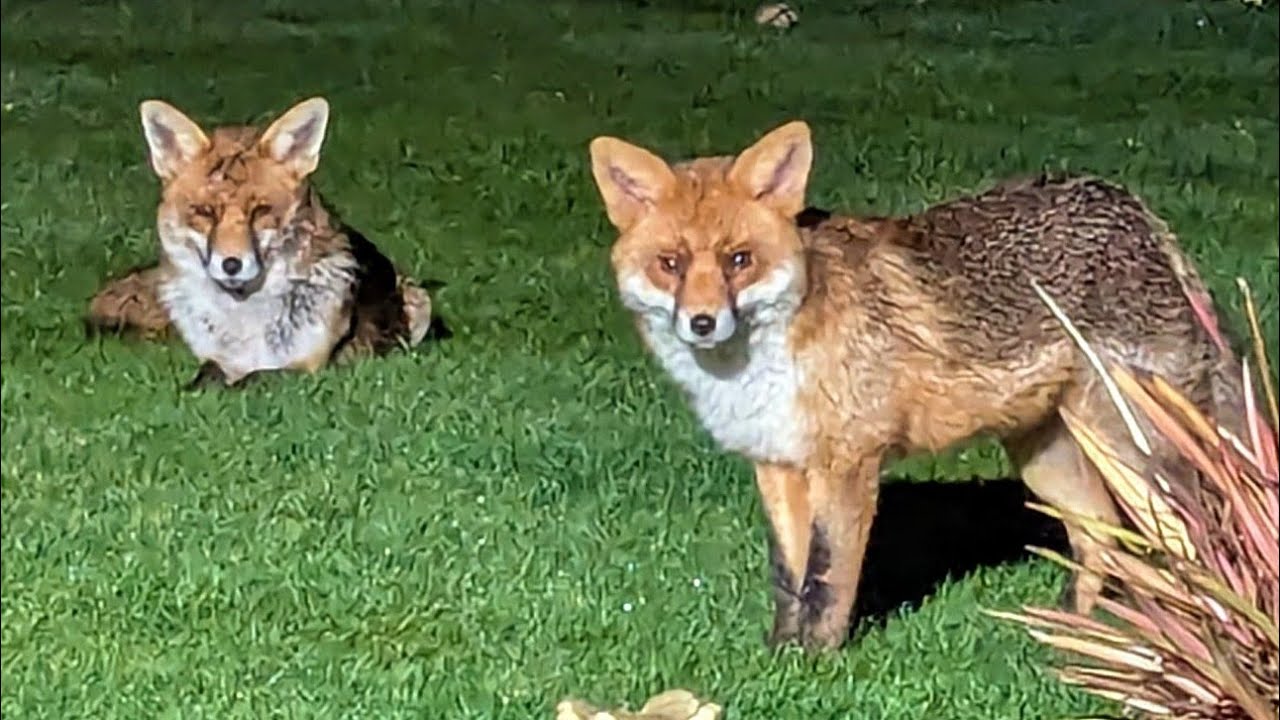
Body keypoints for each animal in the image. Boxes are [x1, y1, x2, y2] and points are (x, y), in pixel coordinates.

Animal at [85, 97, 435, 388]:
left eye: (261, 211)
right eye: (205, 212)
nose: (231, 264)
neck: (244, 322)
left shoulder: (310, 369)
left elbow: (258, 378)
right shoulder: (218, 360)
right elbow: (208, 375)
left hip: (420, 300)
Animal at [588, 121, 1244, 651]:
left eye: (739, 260)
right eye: (671, 264)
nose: (702, 323)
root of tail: (1133, 207)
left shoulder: (847, 465)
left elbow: (827, 578)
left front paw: (817, 661)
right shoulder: (776, 464)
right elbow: (788, 578)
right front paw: (779, 657)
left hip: (1131, 452)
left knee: (1196, 542)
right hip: (1050, 459)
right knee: (1100, 537)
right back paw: (1071, 634)